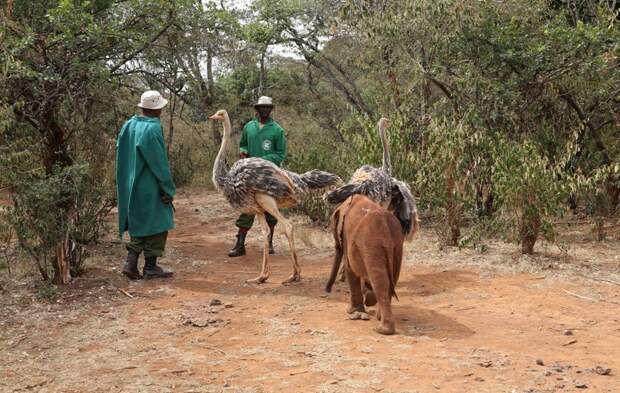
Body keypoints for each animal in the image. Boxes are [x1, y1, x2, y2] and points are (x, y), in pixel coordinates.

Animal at [326, 194, 404, 332]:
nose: (327, 290)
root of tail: (385, 227)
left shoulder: (346, 234)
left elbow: (350, 268)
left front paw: (351, 311)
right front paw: (368, 299)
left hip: (372, 245)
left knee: (380, 280)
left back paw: (382, 330)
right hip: (397, 245)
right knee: (393, 277)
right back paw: (379, 317)